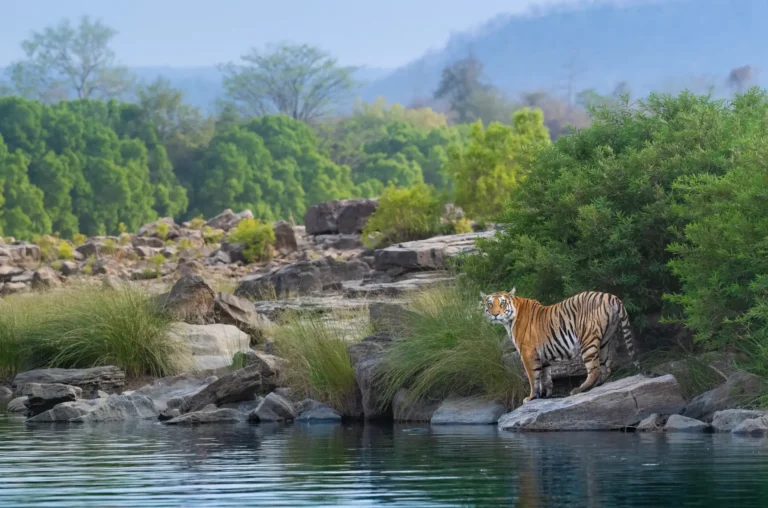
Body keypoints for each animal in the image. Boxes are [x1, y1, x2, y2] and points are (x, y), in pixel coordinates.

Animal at [480, 288, 641, 403]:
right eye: (490, 304)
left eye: (502, 303)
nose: (495, 314)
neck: (509, 320)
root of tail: (610, 296)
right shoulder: (542, 355)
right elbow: (545, 376)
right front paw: (545, 394)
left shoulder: (527, 353)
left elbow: (533, 377)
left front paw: (531, 397)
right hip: (605, 339)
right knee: (605, 368)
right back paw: (595, 385)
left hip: (587, 340)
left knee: (594, 369)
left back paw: (579, 389)